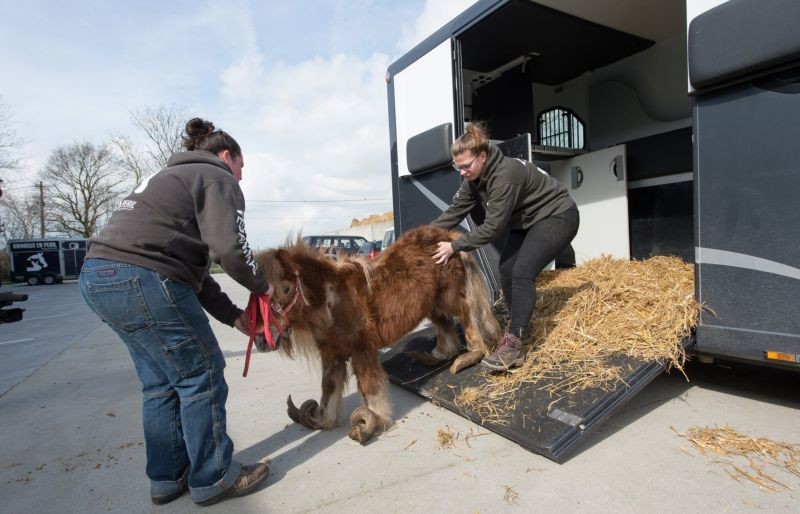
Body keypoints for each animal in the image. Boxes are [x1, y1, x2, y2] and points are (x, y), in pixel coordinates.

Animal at [253, 226, 500, 442]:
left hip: (451, 295)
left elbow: (369, 386)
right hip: (433, 302)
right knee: (445, 325)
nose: (260, 340)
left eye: (286, 288)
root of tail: (448, 236)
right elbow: (329, 387)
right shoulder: (332, 353)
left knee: (469, 316)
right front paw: (324, 420)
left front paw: (371, 423)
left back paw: (471, 355)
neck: (333, 300)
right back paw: (436, 354)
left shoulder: (362, 350)